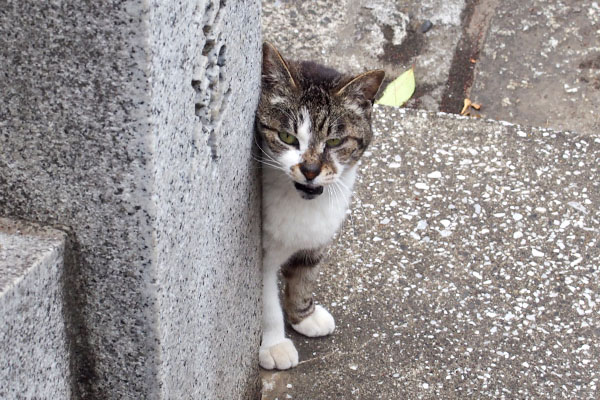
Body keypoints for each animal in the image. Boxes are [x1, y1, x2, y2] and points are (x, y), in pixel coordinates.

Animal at [254, 42, 384, 370]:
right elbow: (267, 303)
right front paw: (275, 344)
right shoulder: (259, 257)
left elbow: (303, 276)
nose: (310, 170)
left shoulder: (316, 241)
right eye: (287, 137)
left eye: (336, 141)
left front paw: (304, 316)